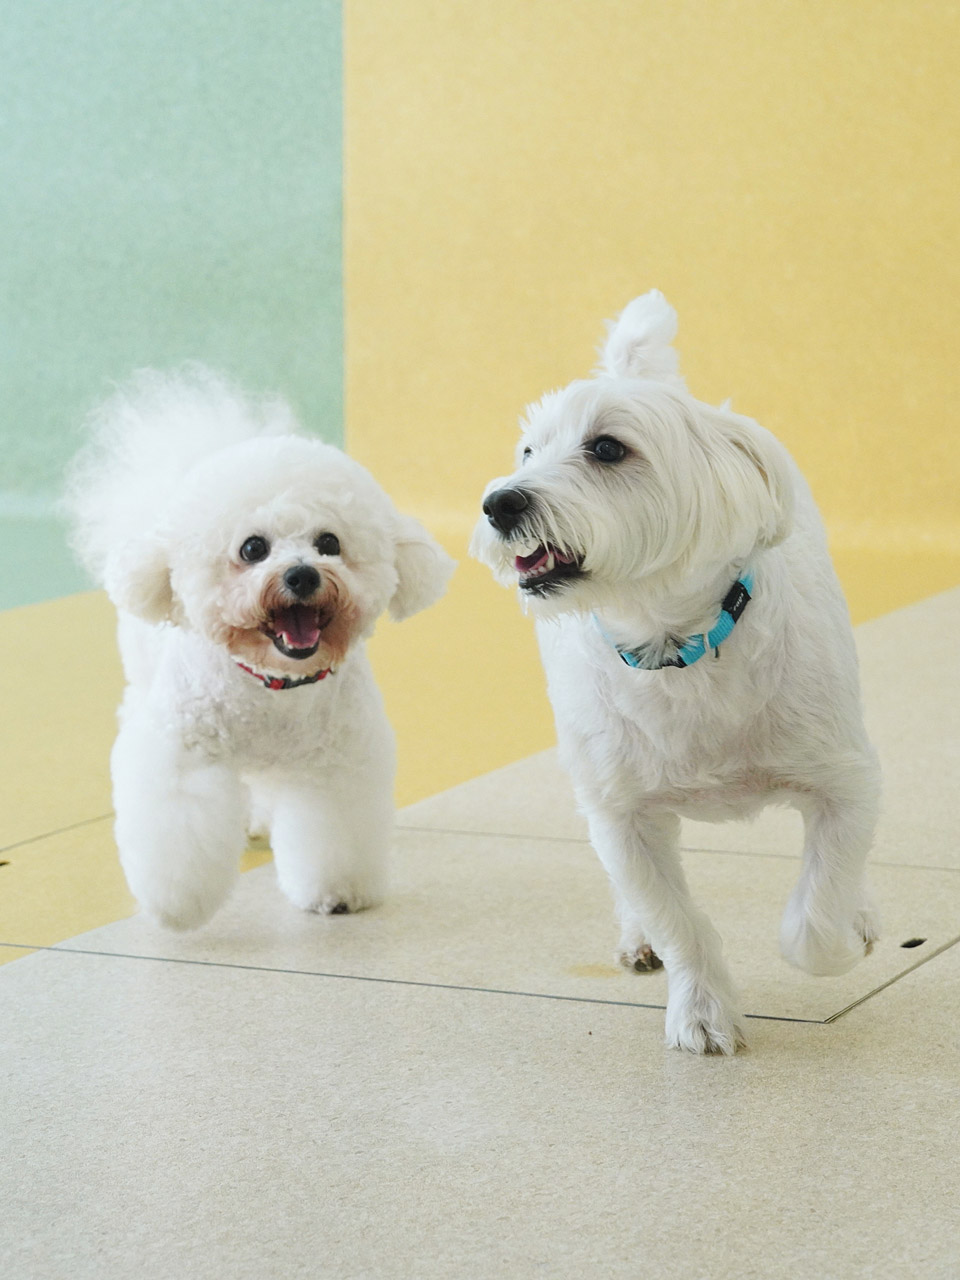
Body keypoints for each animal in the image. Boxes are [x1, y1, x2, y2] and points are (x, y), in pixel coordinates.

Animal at [66, 371, 455, 931]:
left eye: (329, 543)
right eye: (253, 548)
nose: (302, 575)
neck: (274, 686)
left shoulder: (336, 765)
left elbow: (333, 833)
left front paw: (337, 892)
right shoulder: (182, 757)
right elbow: (175, 833)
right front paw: (177, 905)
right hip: (143, 677)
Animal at [471, 294, 880, 1054]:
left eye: (607, 448)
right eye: (529, 451)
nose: (500, 502)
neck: (676, 647)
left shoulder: (843, 780)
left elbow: (818, 910)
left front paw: (839, 938)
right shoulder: (622, 816)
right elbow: (675, 919)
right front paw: (703, 1009)